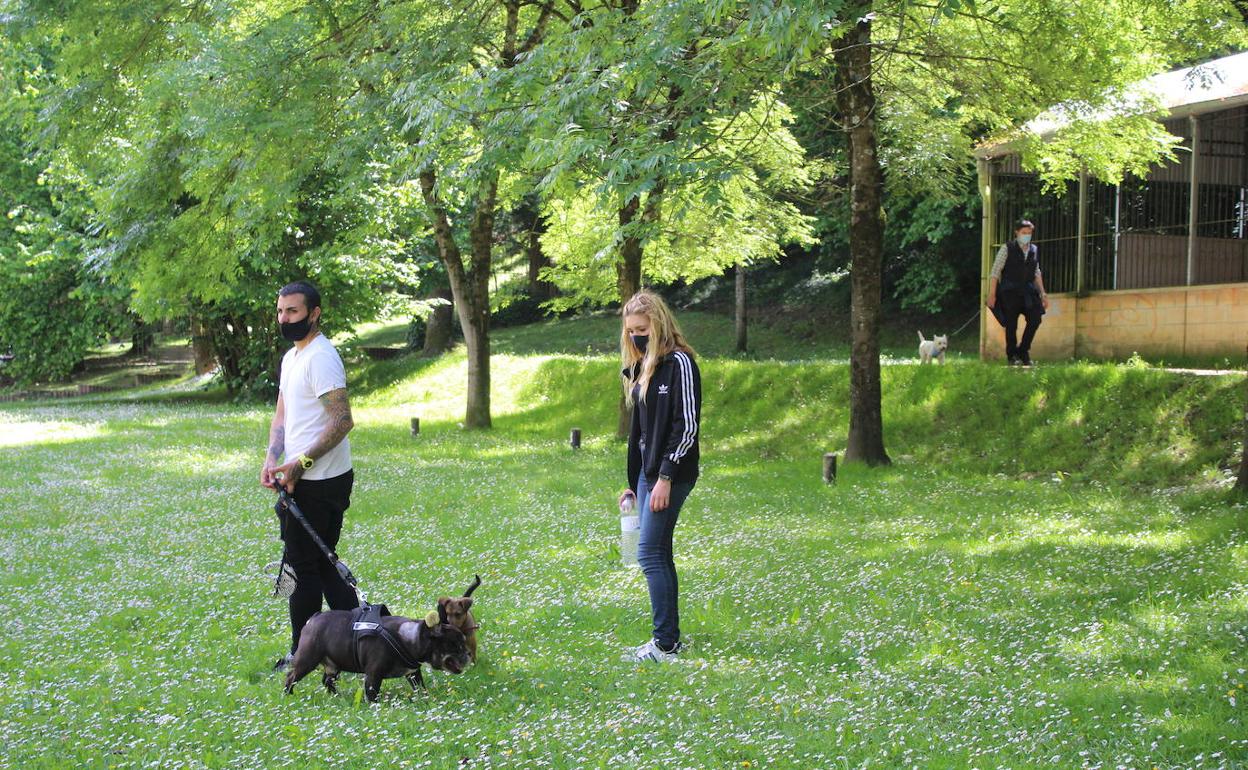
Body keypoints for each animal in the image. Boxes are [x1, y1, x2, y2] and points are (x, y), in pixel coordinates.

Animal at [282, 601, 469, 703]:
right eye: (455, 645)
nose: (467, 654)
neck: (410, 637)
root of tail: (312, 619)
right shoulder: (373, 674)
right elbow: (372, 694)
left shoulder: (413, 673)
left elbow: (420, 688)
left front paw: (425, 698)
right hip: (307, 660)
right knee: (291, 677)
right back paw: (288, 695)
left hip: (333, 665)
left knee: (327, 680)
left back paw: (336, 696)